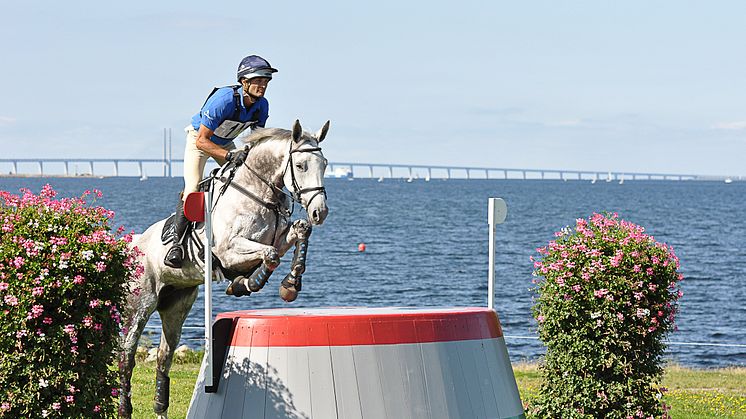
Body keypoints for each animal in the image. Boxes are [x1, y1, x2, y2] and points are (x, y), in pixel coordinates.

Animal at [117, 120, 326, 418]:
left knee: (164, 357)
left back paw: (160, 409)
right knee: (127, 354)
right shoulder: (228, 252)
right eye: (300, 165)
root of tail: (133, 245)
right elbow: (270, 255)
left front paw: (289, 284)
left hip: (176, 306)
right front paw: (245, 283)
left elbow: (299, 232)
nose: (321, 211)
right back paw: (125, 408)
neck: (259, 194)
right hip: (141, 303)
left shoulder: (278, 236)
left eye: (325, 164)